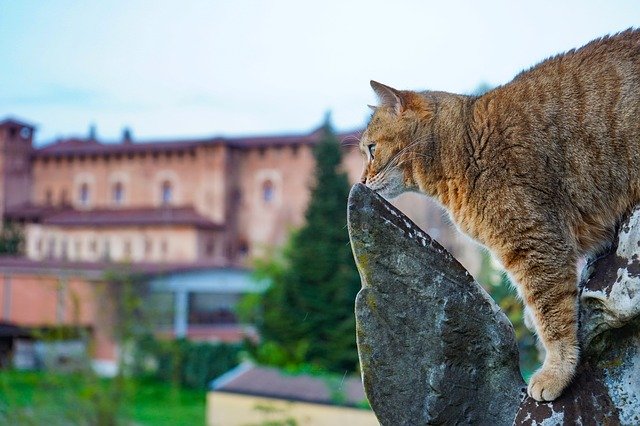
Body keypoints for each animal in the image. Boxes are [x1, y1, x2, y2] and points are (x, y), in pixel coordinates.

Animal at [360, 28, 640, 402]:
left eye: (371, 148)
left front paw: (554, 372)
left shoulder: (535, 243)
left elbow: (553, 316)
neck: (463, 143)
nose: (361, 180)